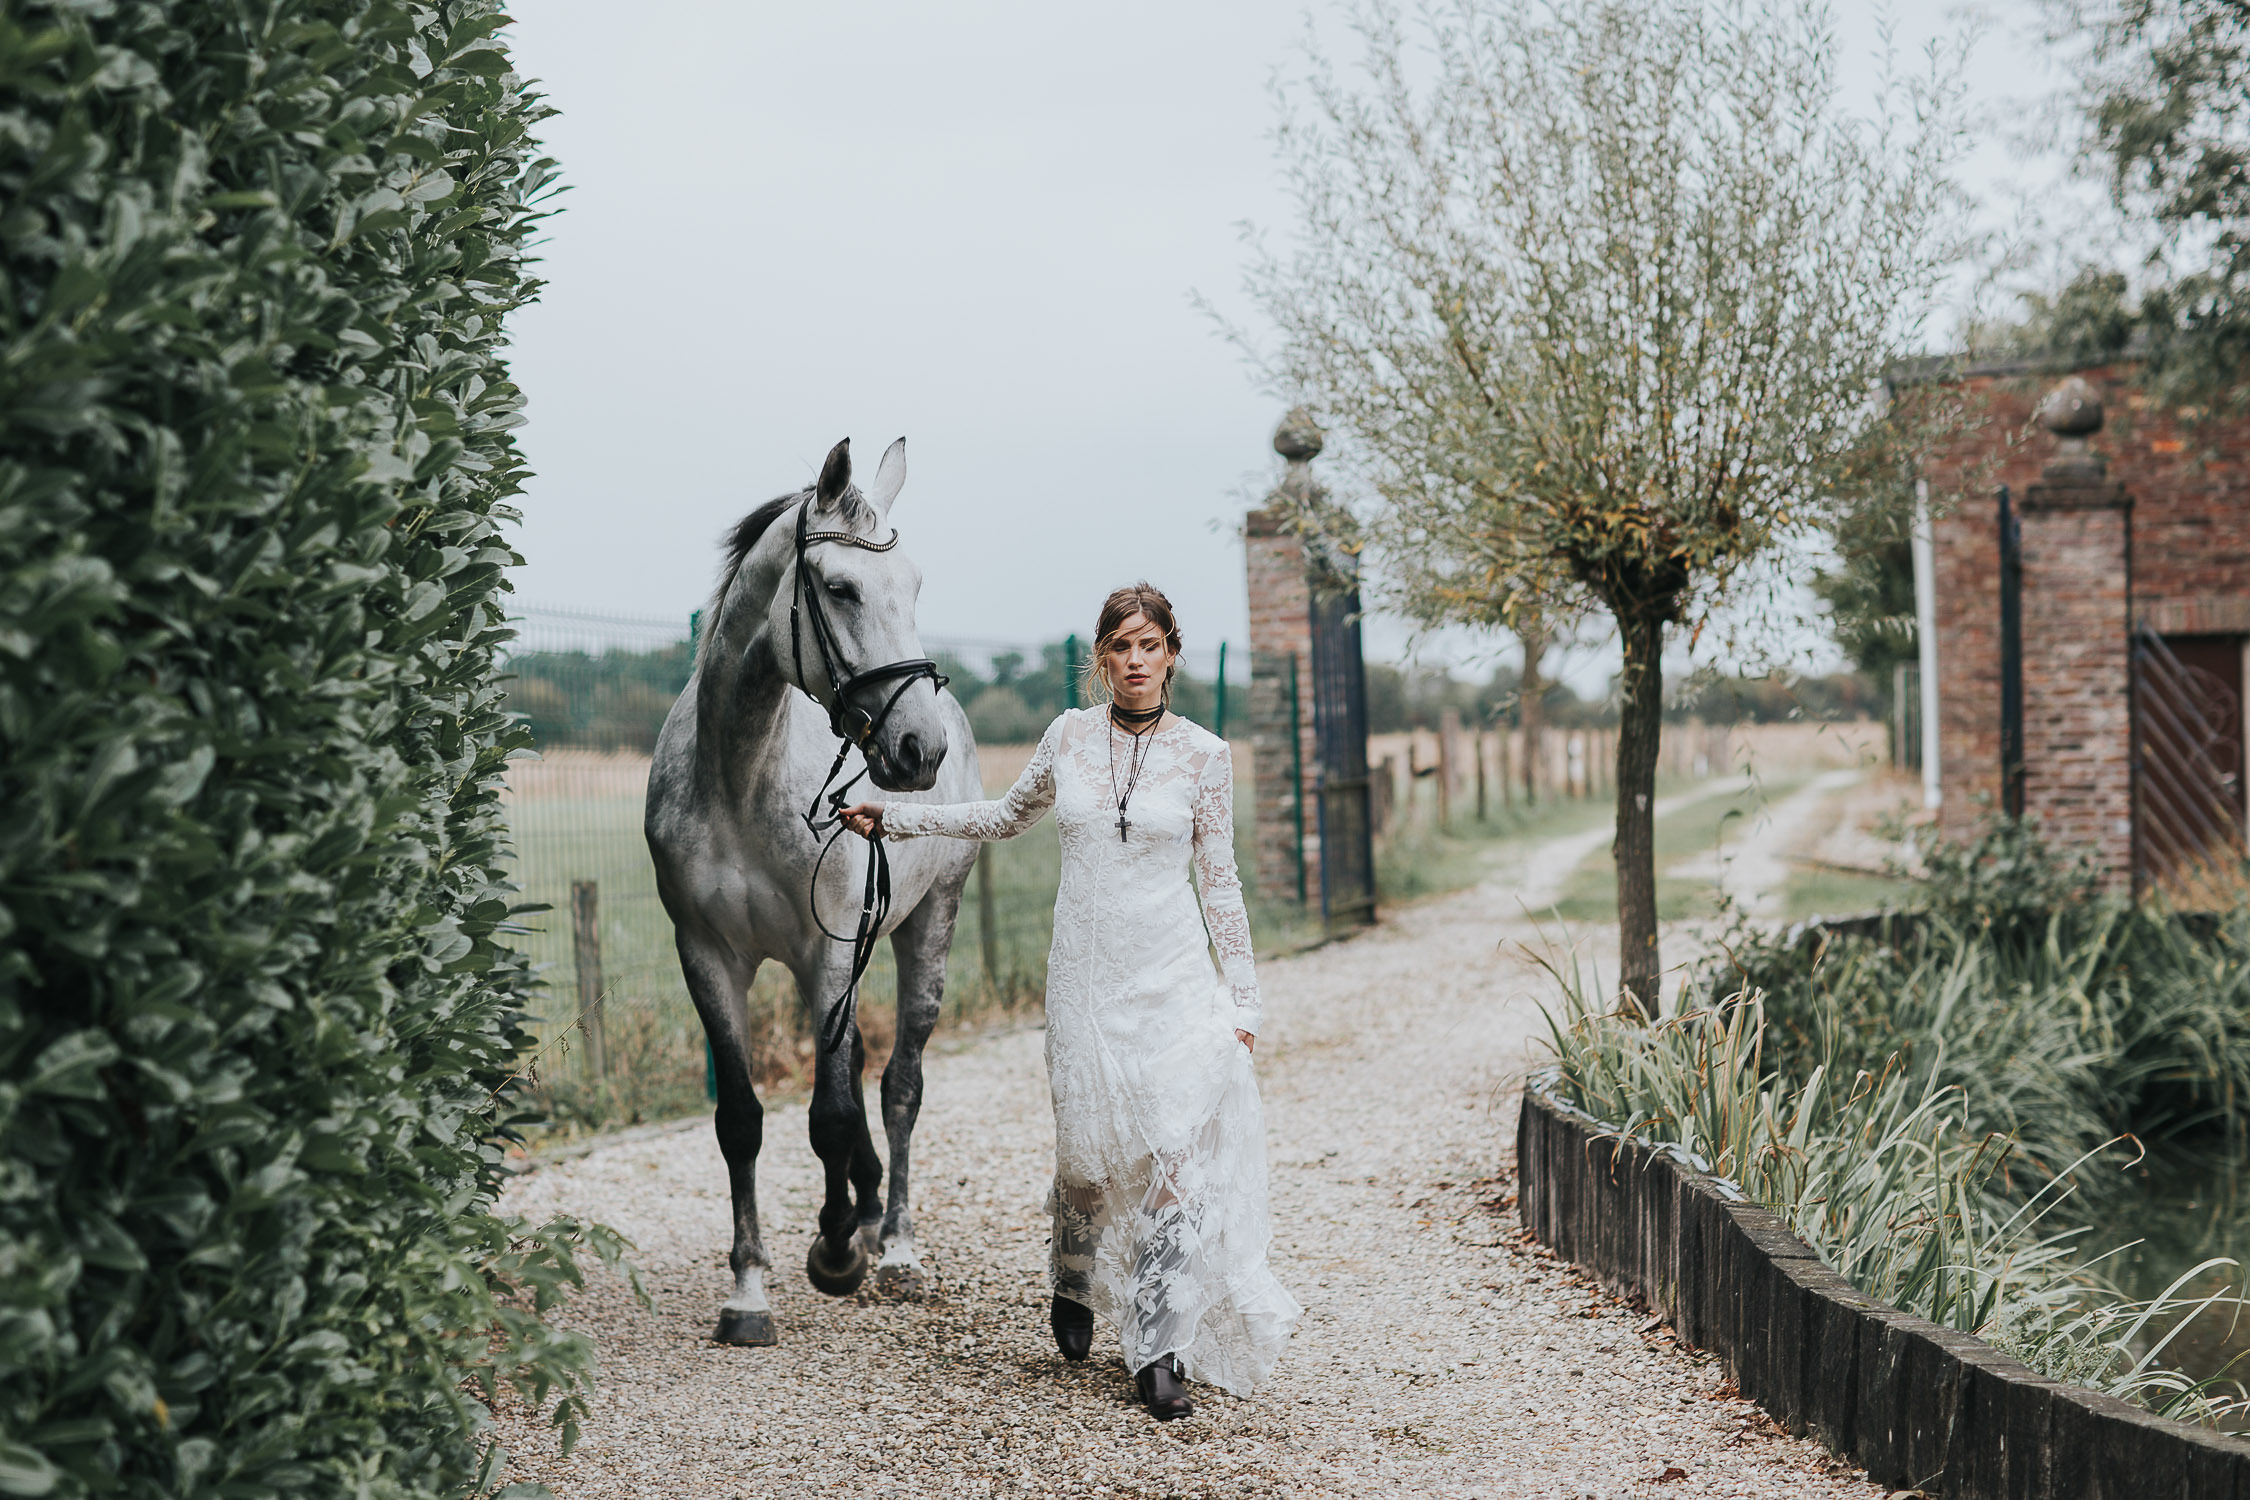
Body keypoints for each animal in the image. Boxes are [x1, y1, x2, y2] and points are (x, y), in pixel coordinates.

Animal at [643, 436, 976, 1349]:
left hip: (927, 926)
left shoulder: (825, 951)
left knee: (898, 1086)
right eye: (842, 587)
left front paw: (835, 1254)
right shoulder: (708, 958)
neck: (740, 776)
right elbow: (742, 1120)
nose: (918, 748)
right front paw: (748, 1293)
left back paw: (893, 1246)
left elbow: (829, 1113)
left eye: (917, 586)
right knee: (857, 1067)